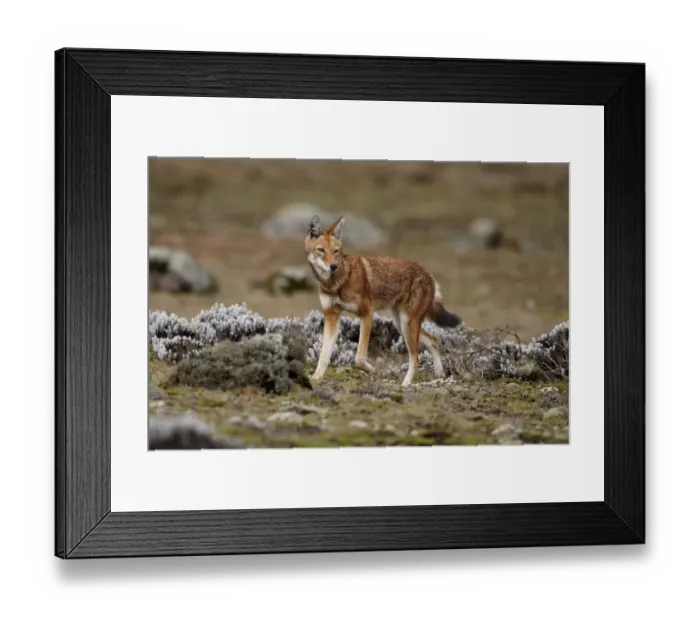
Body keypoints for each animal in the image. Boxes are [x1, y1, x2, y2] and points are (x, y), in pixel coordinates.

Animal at [305, 214, 462, 387]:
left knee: (416, 359)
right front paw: (316, 377)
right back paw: (440, 374)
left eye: (336, 251)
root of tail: (429, 275)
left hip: (407, 325)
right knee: (434, 340)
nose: (333, 266)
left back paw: (405, 385)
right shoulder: (331, 315)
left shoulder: (367, 314)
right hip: (400, 324)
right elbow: (323, 356)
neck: (337, 282)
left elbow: (359, 358)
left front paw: (373, 371)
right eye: (321, 250)